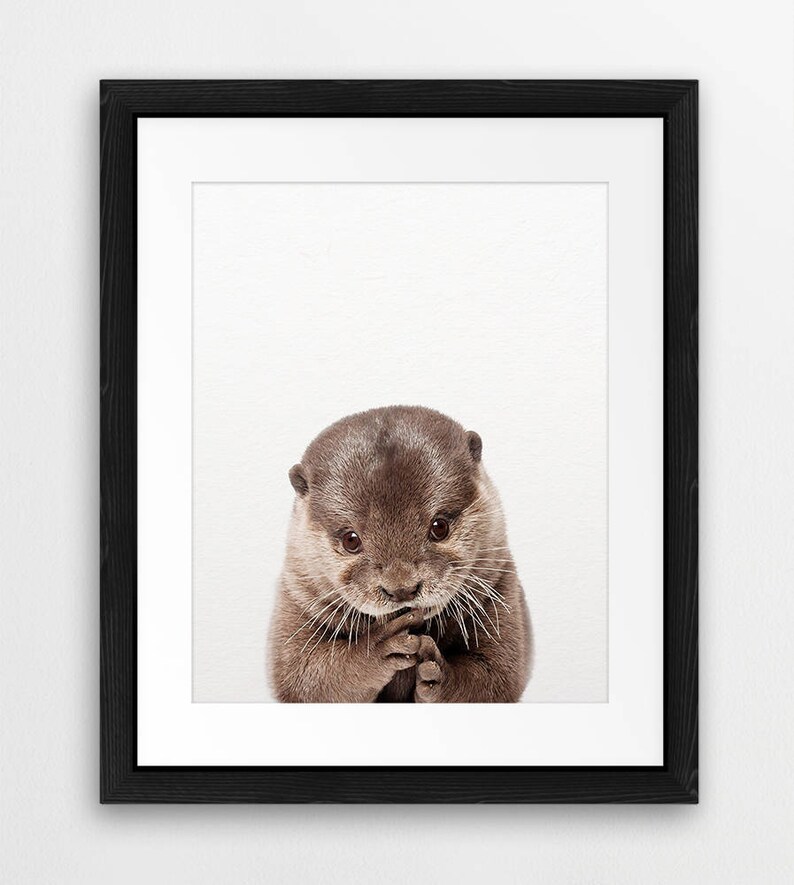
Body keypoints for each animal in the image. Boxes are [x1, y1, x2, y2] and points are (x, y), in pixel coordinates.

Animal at [268, 405, 532, 703]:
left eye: (439, 526)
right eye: (351, 540)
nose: (402, 589)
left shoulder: (501, 591)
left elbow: (495, 677)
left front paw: (437, 673)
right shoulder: (296, 600)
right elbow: (304, 677)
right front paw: (378, 647)